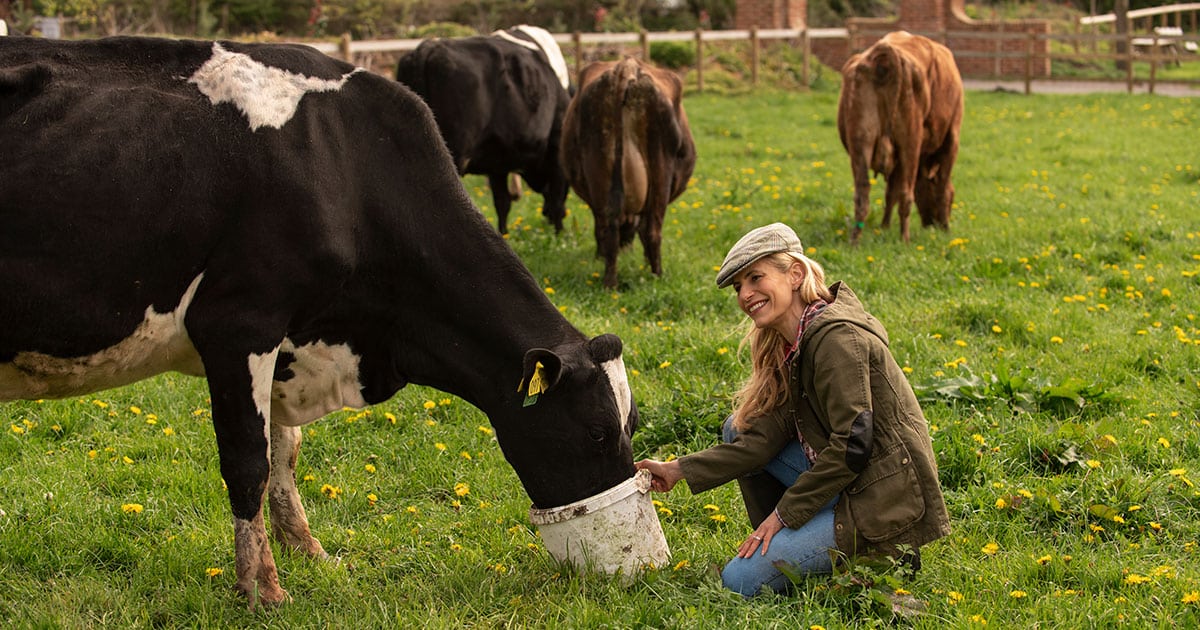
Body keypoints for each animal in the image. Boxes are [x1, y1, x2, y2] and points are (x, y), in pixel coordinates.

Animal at [393, 23, 571, 235]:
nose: (548, 217)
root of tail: (427, 48)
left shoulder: (497, 162)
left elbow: (502, 202)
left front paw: (504, 234)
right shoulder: (556, 150)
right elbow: (556, 196)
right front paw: (559, 234)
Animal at [559, 56, 696, 286]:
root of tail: (627, 66)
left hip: (602, 170)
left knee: (608, 229)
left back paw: (610, 283)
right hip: (660, 171)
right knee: (651, 231)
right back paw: (657, 276)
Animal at [835, 30, 964, 244]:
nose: (933, 224)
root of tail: (884, 54)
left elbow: (890, 192)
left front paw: (884, 226)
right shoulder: (951, 140)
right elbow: (943, 189)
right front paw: (947, 229)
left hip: (861, 141)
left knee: (862, 195)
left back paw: (855, 241)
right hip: (910, 142)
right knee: (906, 194)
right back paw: (905, 239)